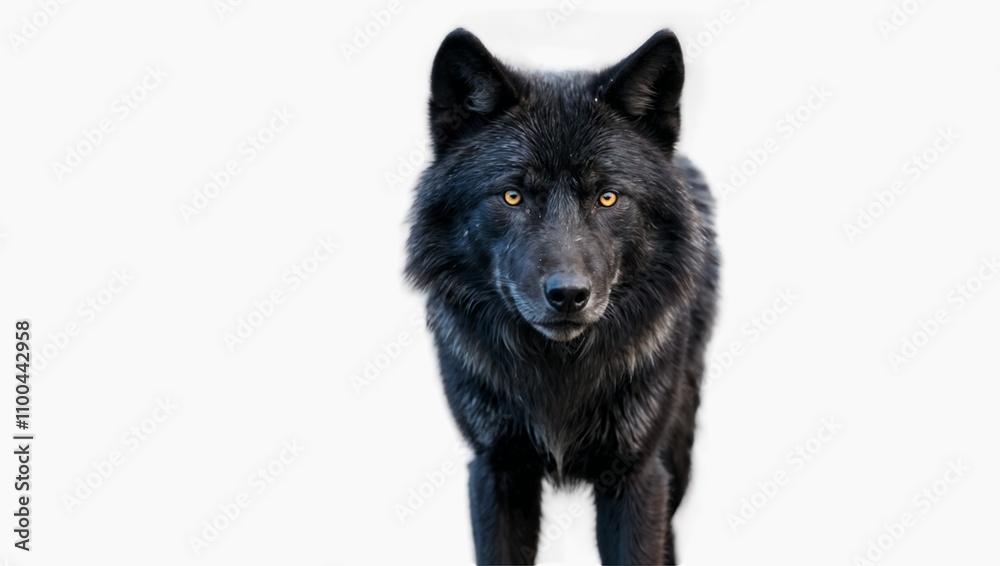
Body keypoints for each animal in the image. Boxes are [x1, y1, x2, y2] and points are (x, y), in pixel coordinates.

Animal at [405, 28, 719, 565]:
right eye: (512, 196)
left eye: (608, 197)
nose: (569, 295)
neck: (558, 371)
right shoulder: (497, 469)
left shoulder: (636, 476)